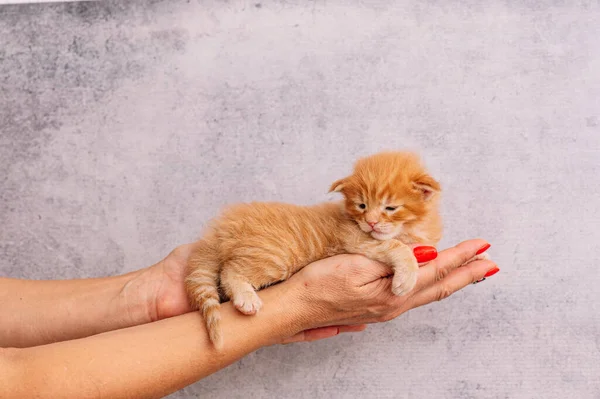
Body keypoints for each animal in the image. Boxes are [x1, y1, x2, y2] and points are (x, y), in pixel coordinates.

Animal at [185, 152, 442, 348]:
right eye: (362, 206)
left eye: (390, 208)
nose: (371, 222)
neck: (410, 228)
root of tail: (221, 228)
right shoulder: (355, 239)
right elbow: (398, 247)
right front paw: (405, 278)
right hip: (275, 256)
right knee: (230, 271)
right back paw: (246, 298)